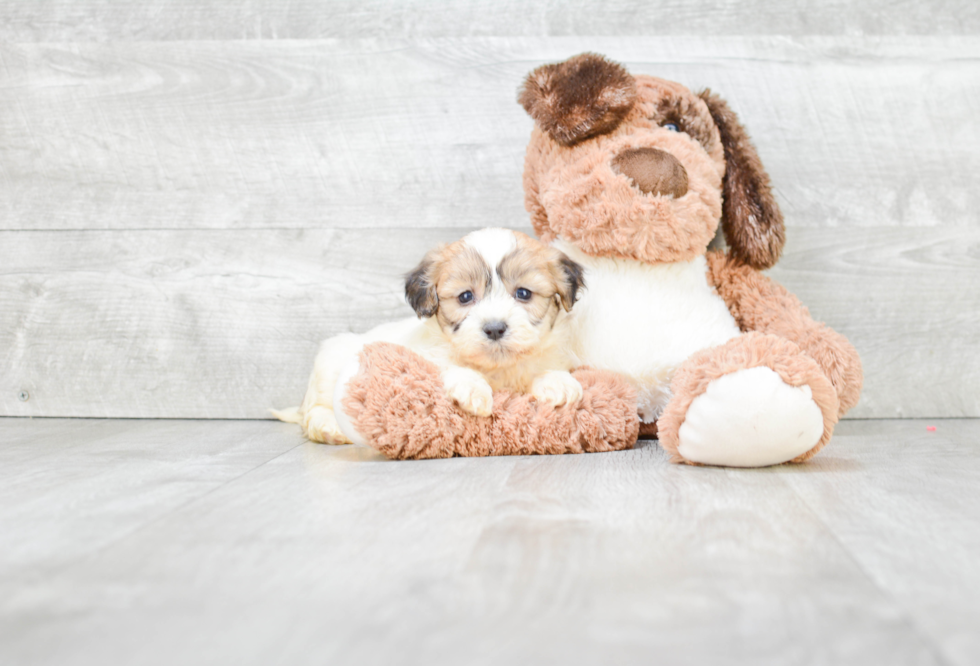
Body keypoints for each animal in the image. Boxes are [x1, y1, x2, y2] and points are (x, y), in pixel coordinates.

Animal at [272, 226, 584, 444]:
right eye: (465, 296)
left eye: (523, 293)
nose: (495, 327)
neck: (497, 368)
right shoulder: (424, 358)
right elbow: (450, 368)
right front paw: (473, 389)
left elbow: (544, 369)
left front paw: (558, 383)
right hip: (330, 366)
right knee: (315, 411)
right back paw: (329, 427)